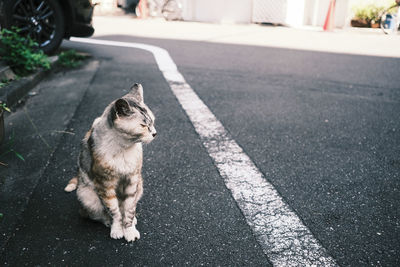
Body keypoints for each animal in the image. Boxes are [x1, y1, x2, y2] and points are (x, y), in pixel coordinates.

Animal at [64, 83, 156, 243]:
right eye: (143, 126)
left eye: (153, 121)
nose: (155, 133)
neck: (124, 149)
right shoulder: (105, 184)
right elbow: (114, 211)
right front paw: (117, 229)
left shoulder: (132, 180)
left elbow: (129, 210)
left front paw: (130, 230)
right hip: (86, 195)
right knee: (94, 214)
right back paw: (107, 221)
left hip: (140, 185)